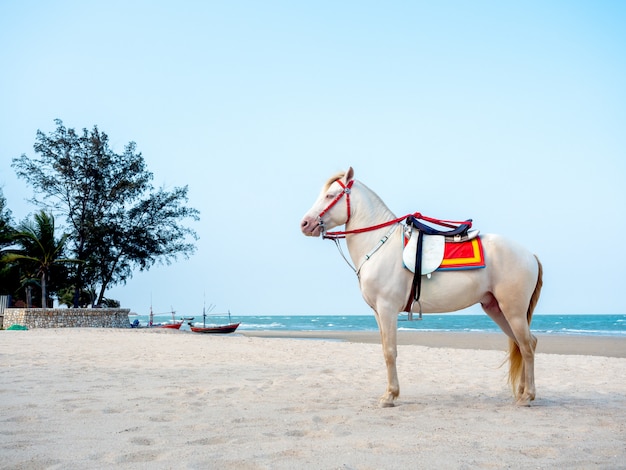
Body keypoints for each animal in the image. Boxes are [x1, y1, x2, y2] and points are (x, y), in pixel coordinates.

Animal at [302, 167, 540, 406]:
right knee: (522, 344)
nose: (305, 223)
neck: (379, 244)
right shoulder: (378, 312)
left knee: (527, 346)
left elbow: (390, 352)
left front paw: (390, 395)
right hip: (497, 309)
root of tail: (530, 255)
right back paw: (522, 392)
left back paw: (528, 395)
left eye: (330, 195)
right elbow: (385, 349)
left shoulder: (387, 309)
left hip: (513, 311)